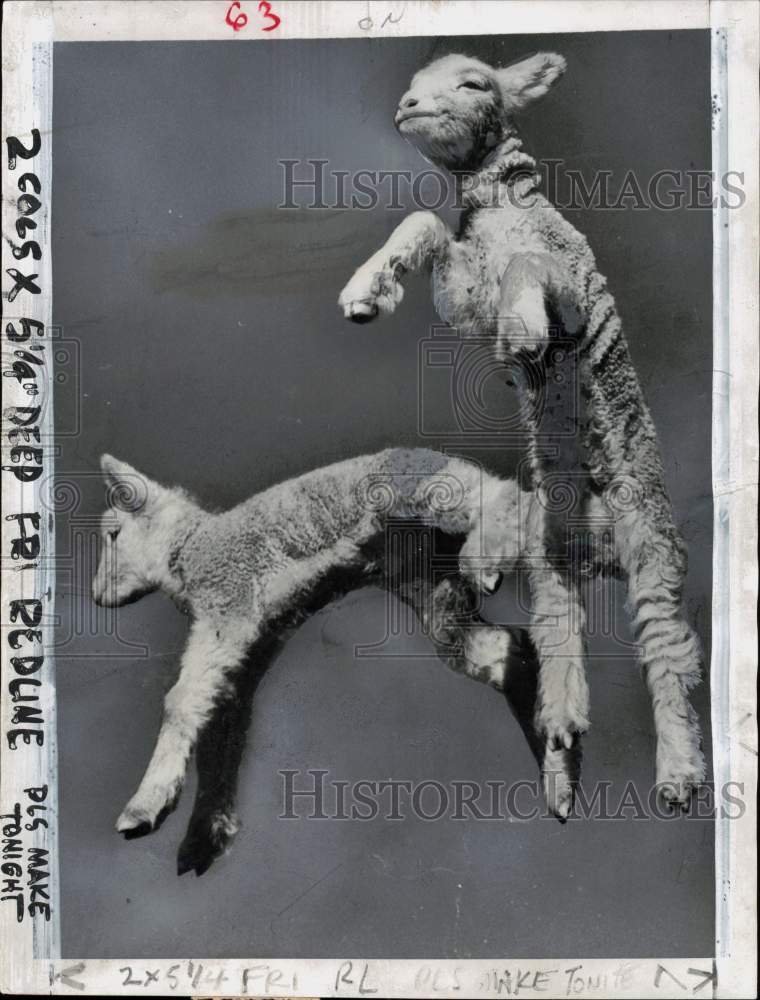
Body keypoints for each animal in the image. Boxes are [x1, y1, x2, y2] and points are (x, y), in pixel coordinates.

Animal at [338, 52, 708, 804]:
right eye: (416, 83)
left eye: (475, 83)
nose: (408, 105)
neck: (505, 207)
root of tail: (601, 548)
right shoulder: (463, 292)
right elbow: (424, 223)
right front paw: (363, 294)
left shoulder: (565, 280)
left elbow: (530, 267)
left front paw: (524, 331)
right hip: (550, 558)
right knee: (560, 643)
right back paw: (560, 756)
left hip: (654, 555)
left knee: (669, 661)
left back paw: (679, 776)